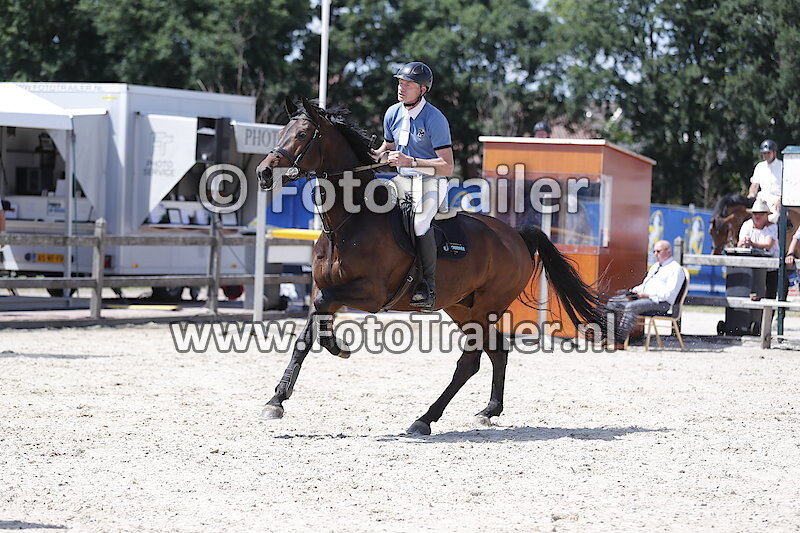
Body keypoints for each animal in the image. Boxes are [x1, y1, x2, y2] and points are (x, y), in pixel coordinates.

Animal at [255, 97, 615, 435]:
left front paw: (336, 347)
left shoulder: (371, 294)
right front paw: (277, 400)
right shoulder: (322, 285)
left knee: (470, 361)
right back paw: (488, 410)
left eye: (302, 134)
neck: (349, 222)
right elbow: (307, 331)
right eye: (282, 131)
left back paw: (425, 419)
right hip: (462, 307)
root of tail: (515, 235)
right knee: (496, 351)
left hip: (486, 307)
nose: (264, 172)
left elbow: (322, 306)